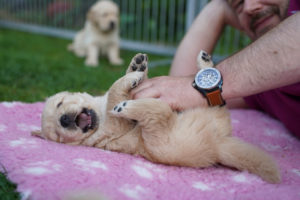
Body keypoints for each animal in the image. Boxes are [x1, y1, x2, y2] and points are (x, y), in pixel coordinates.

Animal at [32, 52, 282, 183]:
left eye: (60, 103)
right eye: (58, 136)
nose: (64, 120)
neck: (100, 115)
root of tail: (219, 143)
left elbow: (118, 85)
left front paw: (136, 67)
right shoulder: (112, 128)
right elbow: (114, 91)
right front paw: (129, 79)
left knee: (217, 103)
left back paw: (205, 62)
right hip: (160, 136)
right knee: (155, 111)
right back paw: (128, 106)